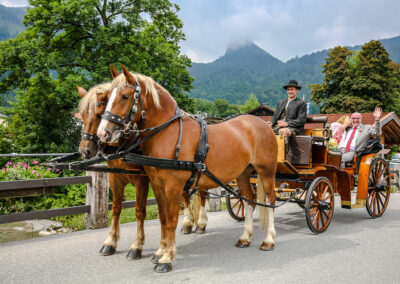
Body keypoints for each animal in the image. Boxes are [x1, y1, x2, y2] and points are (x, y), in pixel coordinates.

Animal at [97, 65, 278, 272]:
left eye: (124, 96)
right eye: (106, 97)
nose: (103, 133)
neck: (168, 133)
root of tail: (263, 124)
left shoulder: (173, 186)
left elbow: (172, 219)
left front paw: (167, 258)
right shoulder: (157, 184)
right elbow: (163, 218)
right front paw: (160, 252)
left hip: (266, 171)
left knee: (270, 200)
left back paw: (268, 240)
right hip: (243, 173)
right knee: (248, 200)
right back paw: (245, 237)